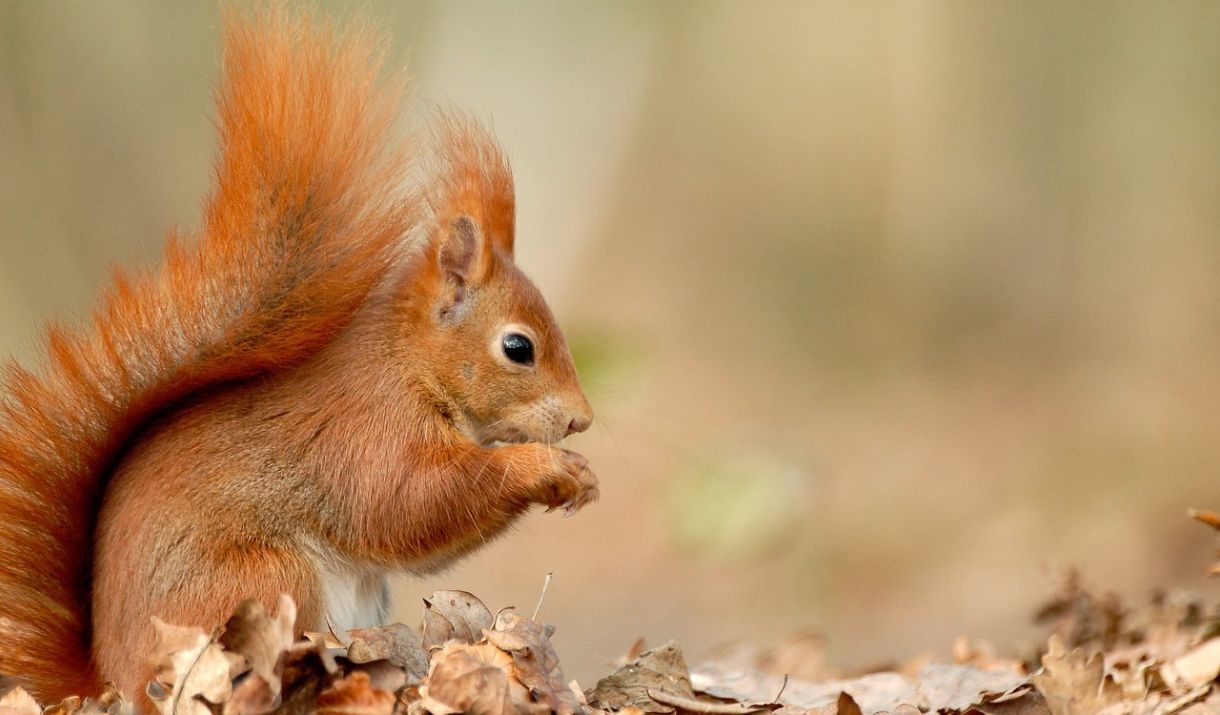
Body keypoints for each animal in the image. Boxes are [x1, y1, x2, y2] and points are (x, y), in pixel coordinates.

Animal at [0, 8, 595, 702]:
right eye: (518, 347)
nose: (582, 419)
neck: (408, 365)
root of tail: (109, 678)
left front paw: (580, 474)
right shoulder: (368, 433)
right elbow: (412, 503)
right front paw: (546, 467)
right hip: (263, 581)